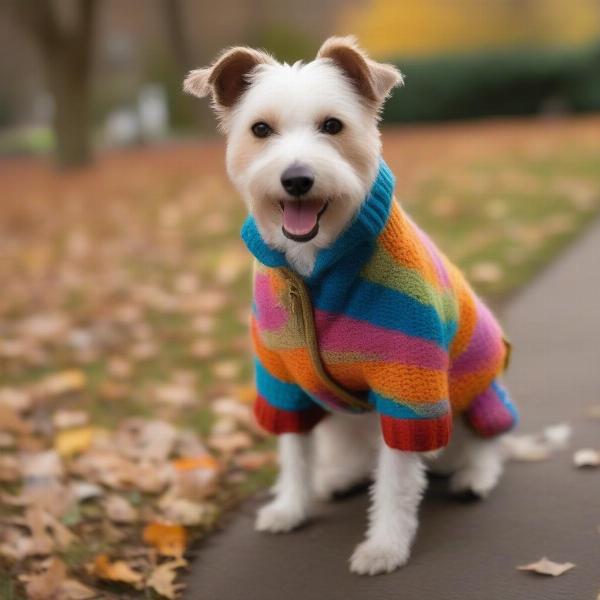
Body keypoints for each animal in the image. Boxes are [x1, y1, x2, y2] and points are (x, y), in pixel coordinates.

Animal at [185, 34, 516, 576]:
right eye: (260, 129)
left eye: (332, 126)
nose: (297, 179)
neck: (314, 266)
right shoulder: (281, 379)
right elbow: (294, 451)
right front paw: (290, 506)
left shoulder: (408, 381)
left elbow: (397, 479)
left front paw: (385, 545)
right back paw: (338, 477)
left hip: (479, 396)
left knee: (489, 441)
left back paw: (474, 474)